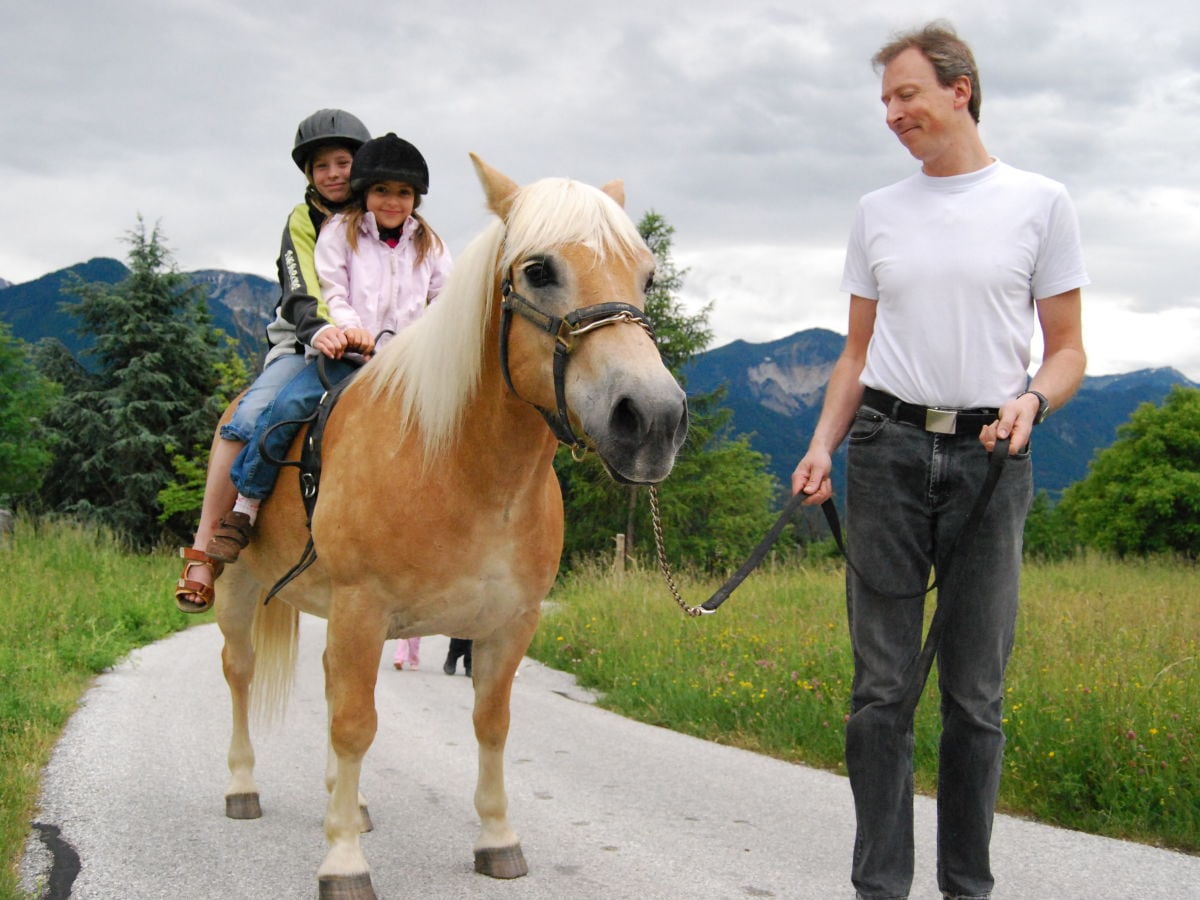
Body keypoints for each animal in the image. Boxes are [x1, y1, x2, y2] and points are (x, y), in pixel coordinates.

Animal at [211, 157, 691, 900]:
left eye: (647, 277)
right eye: (539, 270)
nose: (654, 420)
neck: (462, 471)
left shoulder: (509, 624)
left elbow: (490, 725)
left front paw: (497, 839)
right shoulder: (362, 609)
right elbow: (355, 725)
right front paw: (343, 860)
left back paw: (351, 801)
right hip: (239, 587)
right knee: (240, 672)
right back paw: (243, 786)